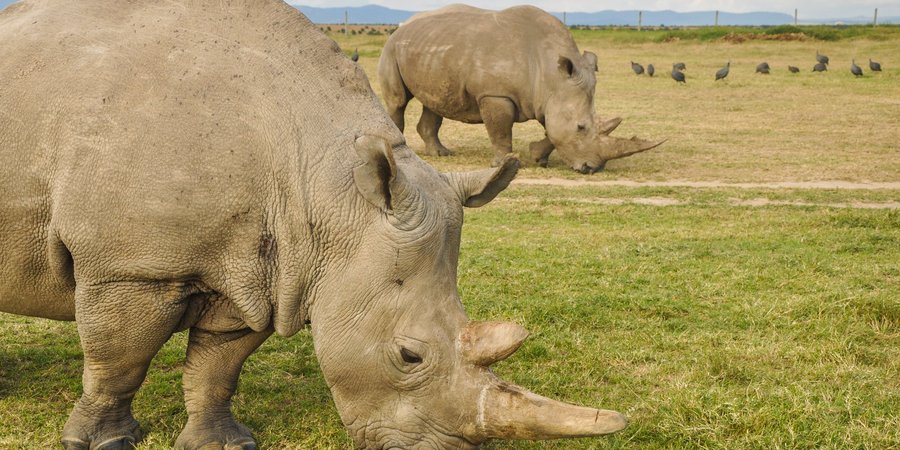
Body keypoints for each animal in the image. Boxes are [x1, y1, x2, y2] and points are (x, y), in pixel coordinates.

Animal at [0, 1, 627, 448]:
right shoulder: (132, 267)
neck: (328, 187)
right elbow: (119, 358)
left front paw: (223, 443)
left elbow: (219, 363)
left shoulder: (263, 270)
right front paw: (103, 442)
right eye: (408, 357)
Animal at [379, 4, 664, 174]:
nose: (590, 168)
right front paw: (503, 164)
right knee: (398, 101)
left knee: (434, 102)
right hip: (391, 47)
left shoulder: (550, 97)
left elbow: (552, 130)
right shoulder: (495, 94)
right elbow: (500, 131)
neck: (551, 74)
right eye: (581, 127)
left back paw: (442, 154)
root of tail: (403, 24)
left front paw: (539, 158)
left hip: (431, 49)